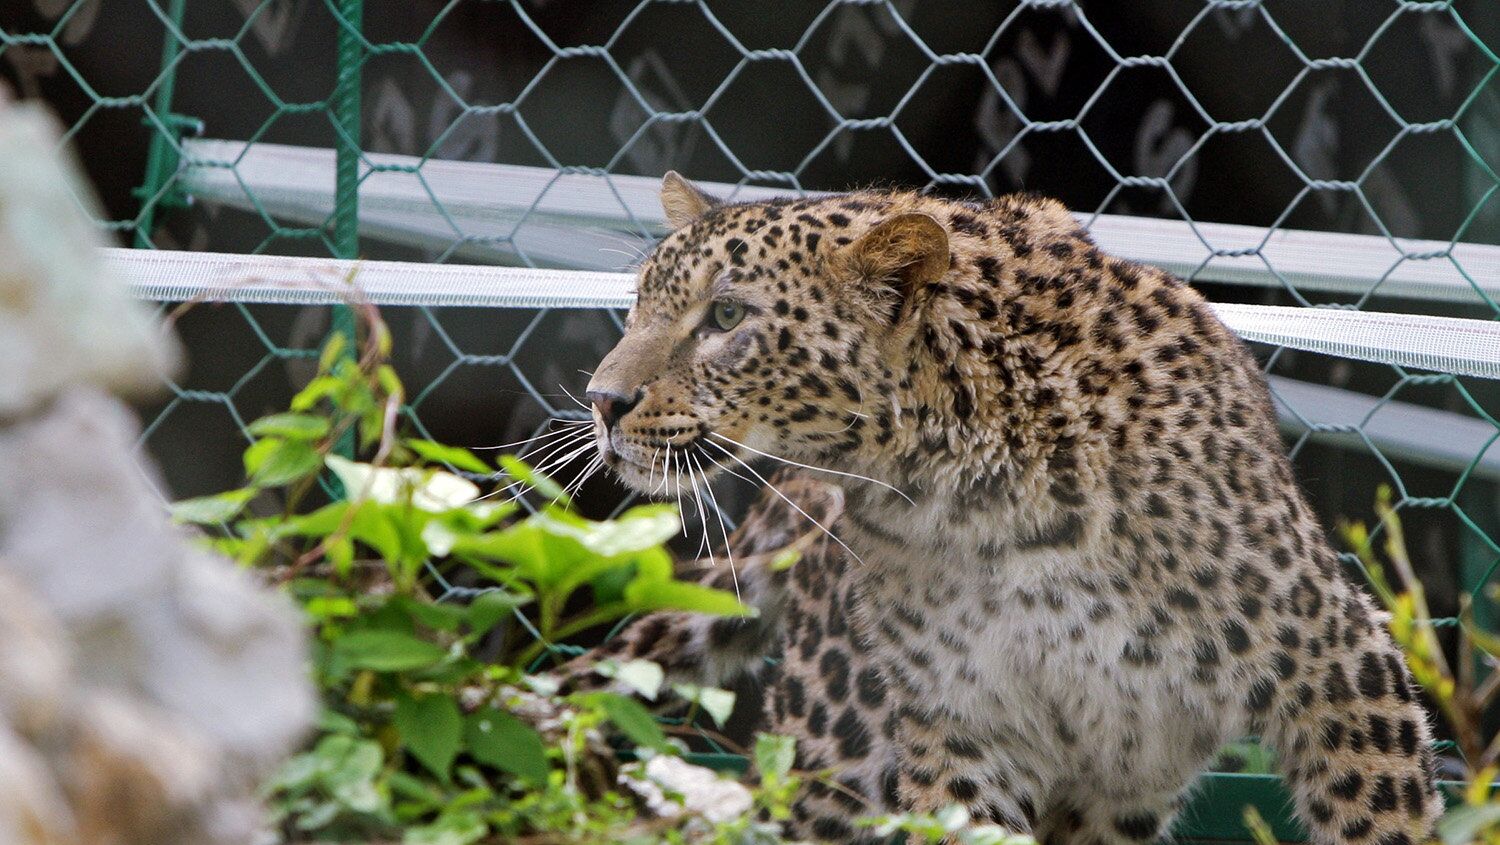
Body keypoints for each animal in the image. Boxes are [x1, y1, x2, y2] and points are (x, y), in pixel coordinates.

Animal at [561, 173, 1440, 845]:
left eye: (727, 317)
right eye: (637, 306)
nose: (601, 400)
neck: (975, 496)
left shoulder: (1339, 662)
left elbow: (1382, 819)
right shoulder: (964, 729)